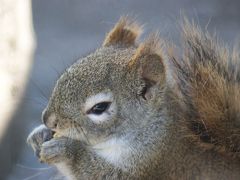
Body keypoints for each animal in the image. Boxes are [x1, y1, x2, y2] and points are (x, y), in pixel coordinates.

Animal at [26, 16, 240, 179]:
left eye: (99, 108)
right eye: (64, 75)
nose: (49, 120)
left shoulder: (149, 164)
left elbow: (103, 174)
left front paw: (67, 151)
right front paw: (40, 134)